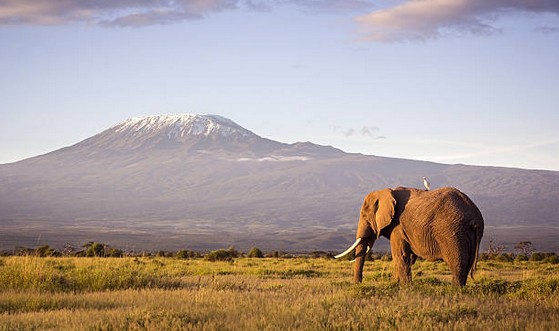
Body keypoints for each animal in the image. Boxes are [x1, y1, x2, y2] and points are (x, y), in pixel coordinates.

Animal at [336, 188, 486, 286]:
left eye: (364, 215)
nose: (358, 284)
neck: (387, 191)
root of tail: (475, 217)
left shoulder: (397, 227)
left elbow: (400, 255)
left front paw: (405, 288)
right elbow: (407, 258)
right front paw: (395, 284)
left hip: (452, 233)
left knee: (457, 262)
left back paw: (455, 290)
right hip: (466, 234)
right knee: (467, 264)